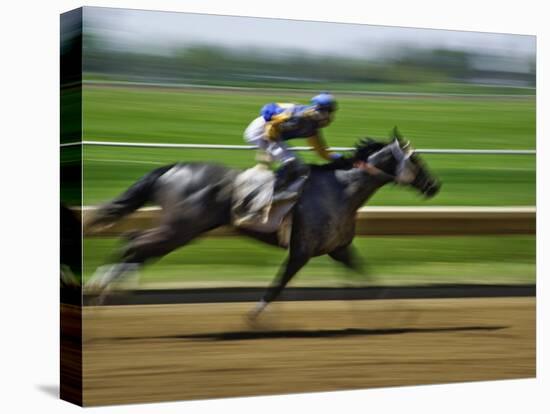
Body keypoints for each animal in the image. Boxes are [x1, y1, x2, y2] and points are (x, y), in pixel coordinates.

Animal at [87, 129, 444, 316]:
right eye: (417, 160)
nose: (434, 185)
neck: (341, 190)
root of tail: (173, 168)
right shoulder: (301, 250)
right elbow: (276, 286)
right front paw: (254, 317)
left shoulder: (339, 248)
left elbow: (371, 280)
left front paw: (400, 312)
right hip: (180, 228)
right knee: (134, 242)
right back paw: (101, 287)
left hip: (179, 230)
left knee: (136, 246)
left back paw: (108, 290)